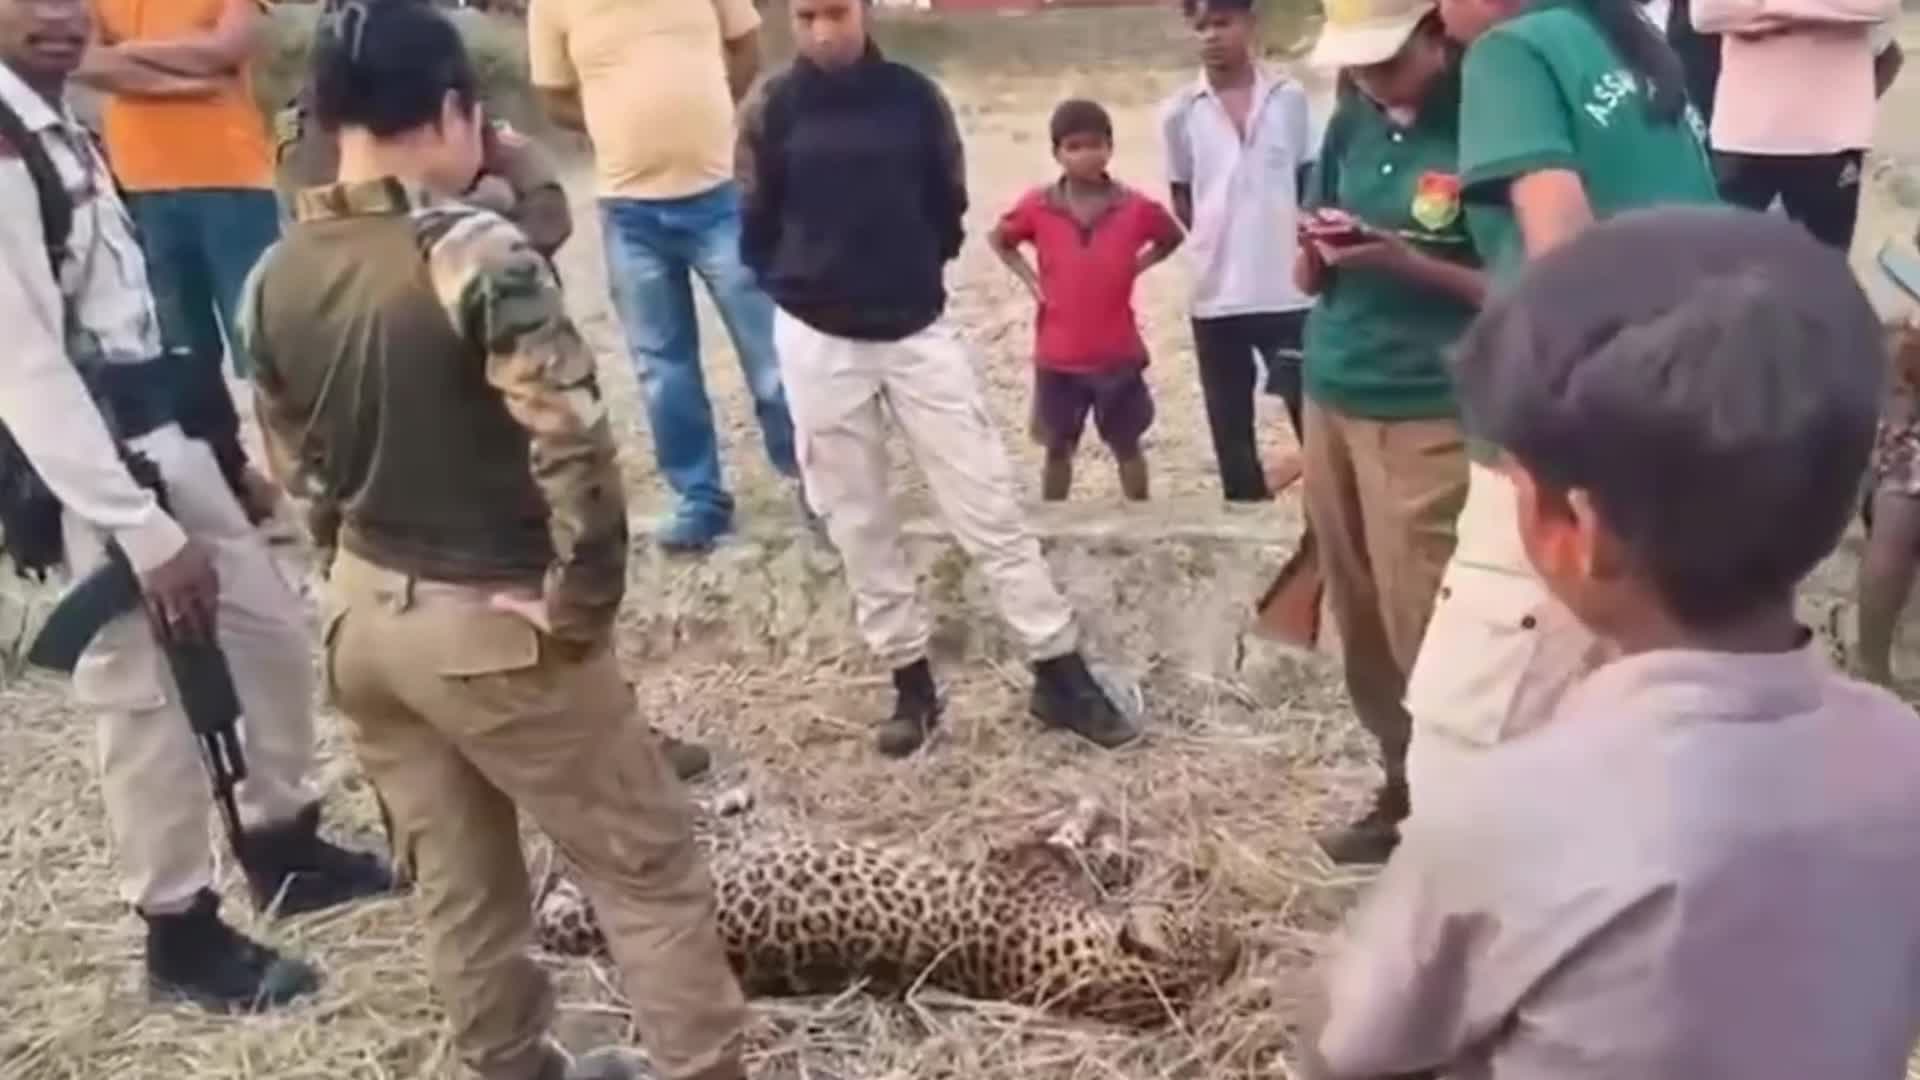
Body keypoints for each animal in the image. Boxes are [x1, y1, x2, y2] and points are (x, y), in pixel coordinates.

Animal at [531, 797, 1240, 1028]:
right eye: (1192, 916)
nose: (1235, 935)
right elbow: (1080, 847)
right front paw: (1114, 838)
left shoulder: (1026, 867)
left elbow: (1071, 843)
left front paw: (1100, 828)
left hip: (696, 856)